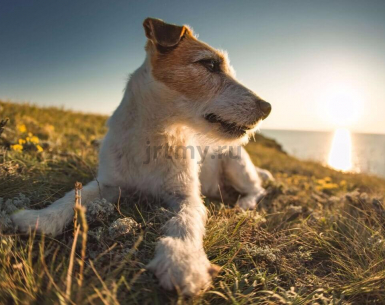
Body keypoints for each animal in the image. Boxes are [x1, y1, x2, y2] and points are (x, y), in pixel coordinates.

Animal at [11, 17, 270, 296]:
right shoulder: (109, 184)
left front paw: (182, 260)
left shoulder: (187, 196)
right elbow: (72, 197)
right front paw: (39, 218)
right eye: (209, 64)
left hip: (236, 164)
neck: (154, 136)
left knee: (258, 189)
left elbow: (185, 223)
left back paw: (244, 205)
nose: (267, 107)